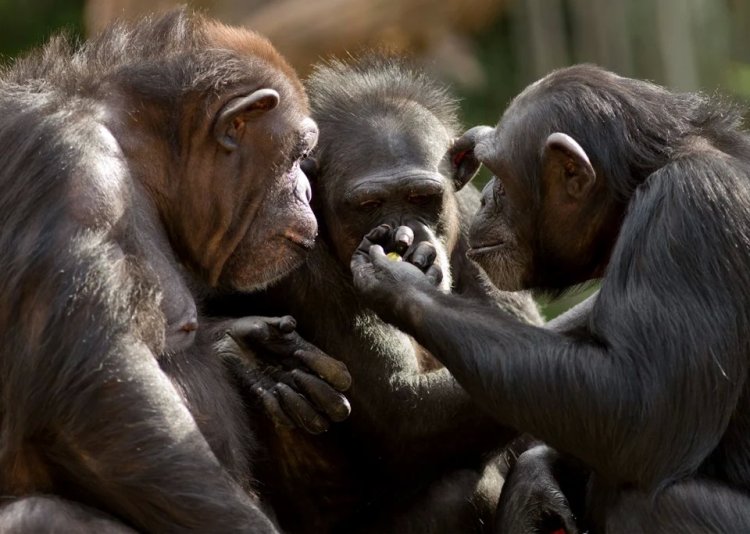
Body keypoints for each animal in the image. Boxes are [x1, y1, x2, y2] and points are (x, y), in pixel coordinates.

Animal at [0, 9, 352, 534]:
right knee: (41, 513)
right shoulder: (71, 173)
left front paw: (251, 355)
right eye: (297, 155)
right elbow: (103, 399)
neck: (136, 152)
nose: (307, 191)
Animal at [214, 55, 568, 534]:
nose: (405, 234)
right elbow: (400, 409)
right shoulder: (290, 260)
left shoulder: (480, 220)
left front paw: (538, 481)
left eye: (423, 197)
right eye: (368, 205)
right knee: (460, 491)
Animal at [352, 65, 750, 532]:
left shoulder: (690, 210)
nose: (483, 198)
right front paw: (536, 483)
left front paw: (400, 281)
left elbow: (644, 406)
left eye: (501, 177)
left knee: (644, 501)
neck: (637, 187)